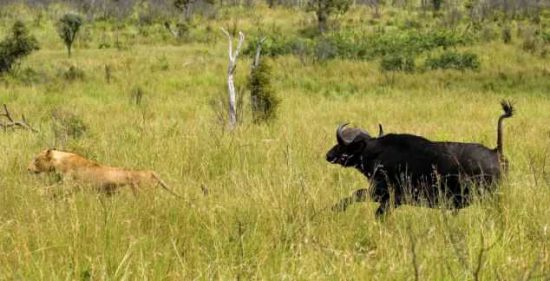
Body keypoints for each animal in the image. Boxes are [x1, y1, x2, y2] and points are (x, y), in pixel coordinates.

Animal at [326, 100, 516, 217]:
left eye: (342, 145)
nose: (328, 155)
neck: (377, 153)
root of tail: (496, 152)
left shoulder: (384, 195)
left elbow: (357, 195)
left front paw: (335, 208)